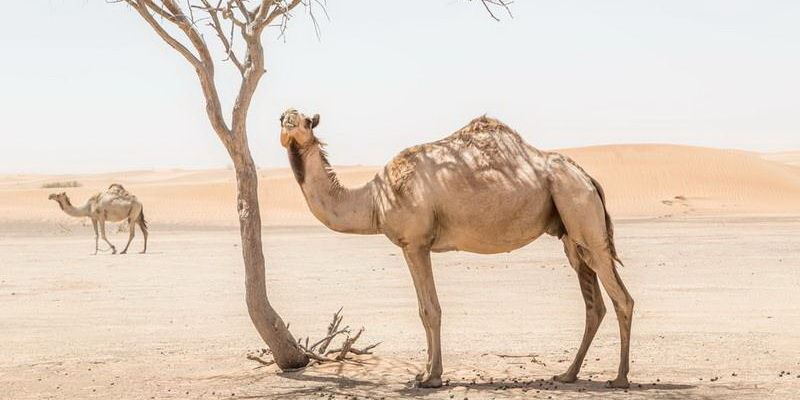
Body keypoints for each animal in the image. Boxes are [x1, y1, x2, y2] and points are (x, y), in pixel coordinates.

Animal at [278, 109, 634, 389]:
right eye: (282, 118)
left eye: (306, 121)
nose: (288, 123)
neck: (374, 199)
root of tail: (588, 178)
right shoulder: (412, 245)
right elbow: (424, 310)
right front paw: (424, 372)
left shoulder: (416, 242)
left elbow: (429, 310)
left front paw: (430, 377)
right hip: (571, 232)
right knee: (594, 303)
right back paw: (568, 374)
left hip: (580, 209)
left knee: (622, 298)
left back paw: (620, 378)